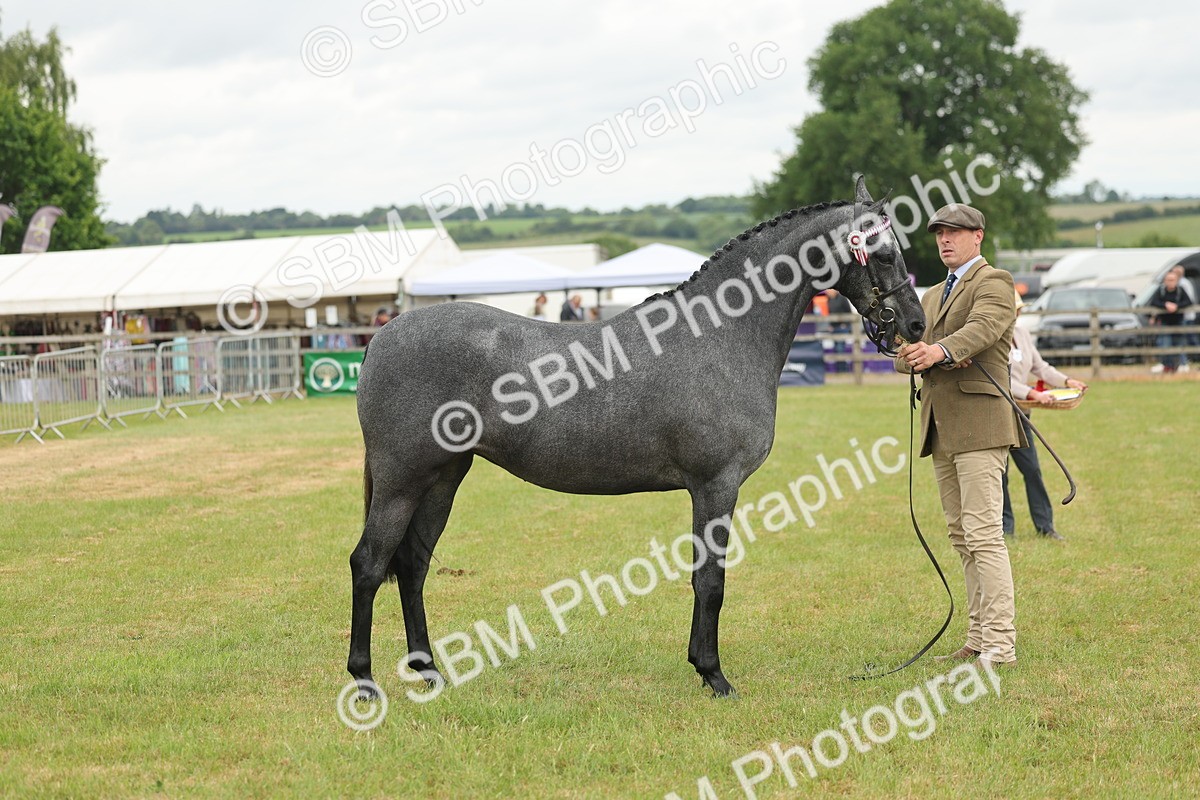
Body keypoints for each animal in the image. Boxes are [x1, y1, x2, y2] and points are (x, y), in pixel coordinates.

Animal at [349, 177, 926, 697]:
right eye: (885, 253)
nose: (916, 325)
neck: (721, 336)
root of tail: (382, 335)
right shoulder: (716, 485)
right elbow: (710, 580)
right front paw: (714, 676)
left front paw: (702, 666)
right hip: (403, 481)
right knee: (369, 564)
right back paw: (364, 682)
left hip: (443, 478)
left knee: (412, 565)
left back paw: (428, 672)